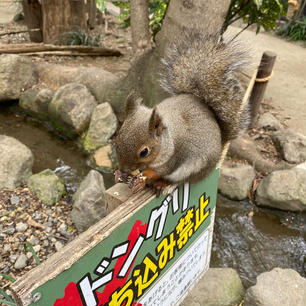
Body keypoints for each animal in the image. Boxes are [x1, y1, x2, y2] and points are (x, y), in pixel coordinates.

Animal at [113, 29, 250, 192]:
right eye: (117, 139)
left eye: (144, 152)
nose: (124, 168)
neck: (167, 139)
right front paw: (118, 174)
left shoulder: (174, 158)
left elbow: (159, 171)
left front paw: (143, 179)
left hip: (195, 168)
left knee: (179, 180)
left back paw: (161, 183)